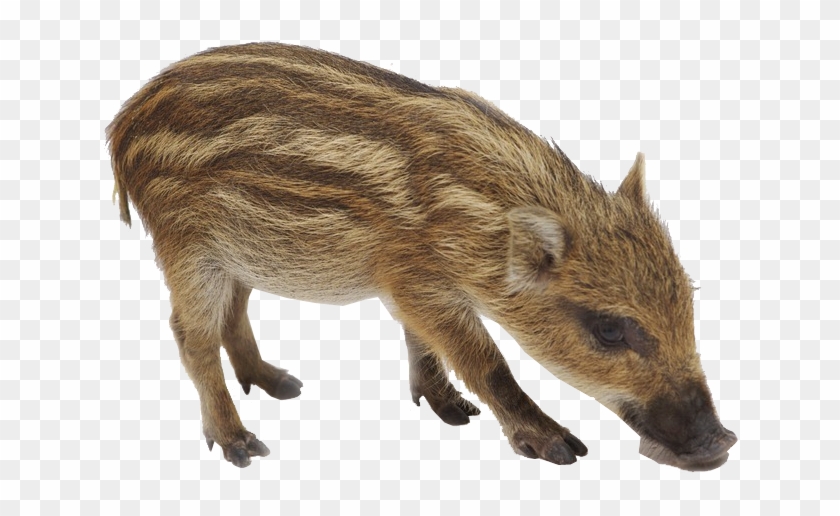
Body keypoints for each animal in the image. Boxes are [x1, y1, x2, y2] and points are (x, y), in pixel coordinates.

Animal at [106, 42, 737, 470]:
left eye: (690, 303)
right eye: (609, 330)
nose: (723, 443)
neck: (478, 219)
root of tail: (123, 124)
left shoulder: (409, 286)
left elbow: (422, 341)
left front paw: (450, 410)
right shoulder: (417, 279)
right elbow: (486, 361)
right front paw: (559, 447)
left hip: (237, 253)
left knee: (234, 313)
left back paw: (281, 384)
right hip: (187, 247)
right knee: (191, 335)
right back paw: (242, 444)